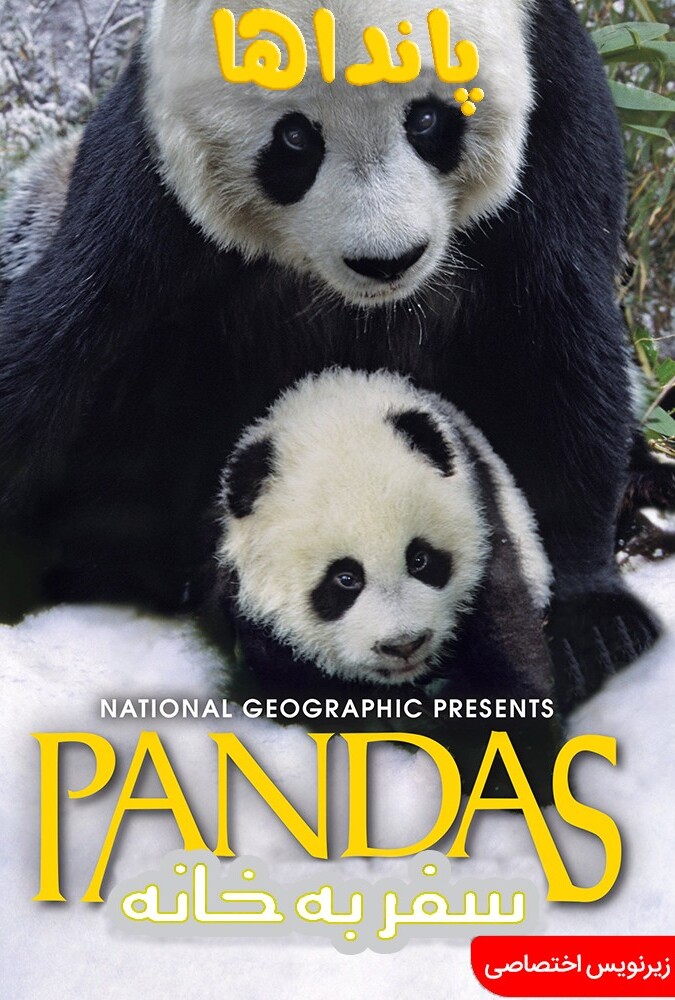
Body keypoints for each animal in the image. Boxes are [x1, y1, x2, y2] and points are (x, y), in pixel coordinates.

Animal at [0, 0, 664, 710]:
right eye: (295, 138)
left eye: (427, 118)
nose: (387, 260)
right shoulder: (151, 175)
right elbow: (67, 342)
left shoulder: (557, 113)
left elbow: (556, 345)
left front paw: (594, 623)